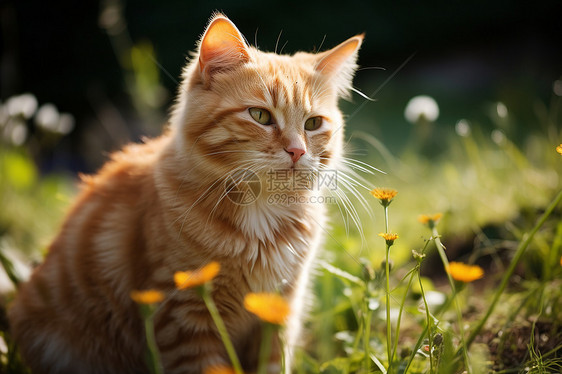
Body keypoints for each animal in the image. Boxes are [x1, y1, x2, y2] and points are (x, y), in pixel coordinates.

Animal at [7, 12, 364, 374]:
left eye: (313, 124)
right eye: (260, 115)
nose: (296, 151)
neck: (262, 214)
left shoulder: (278, 312)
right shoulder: (184, 317)